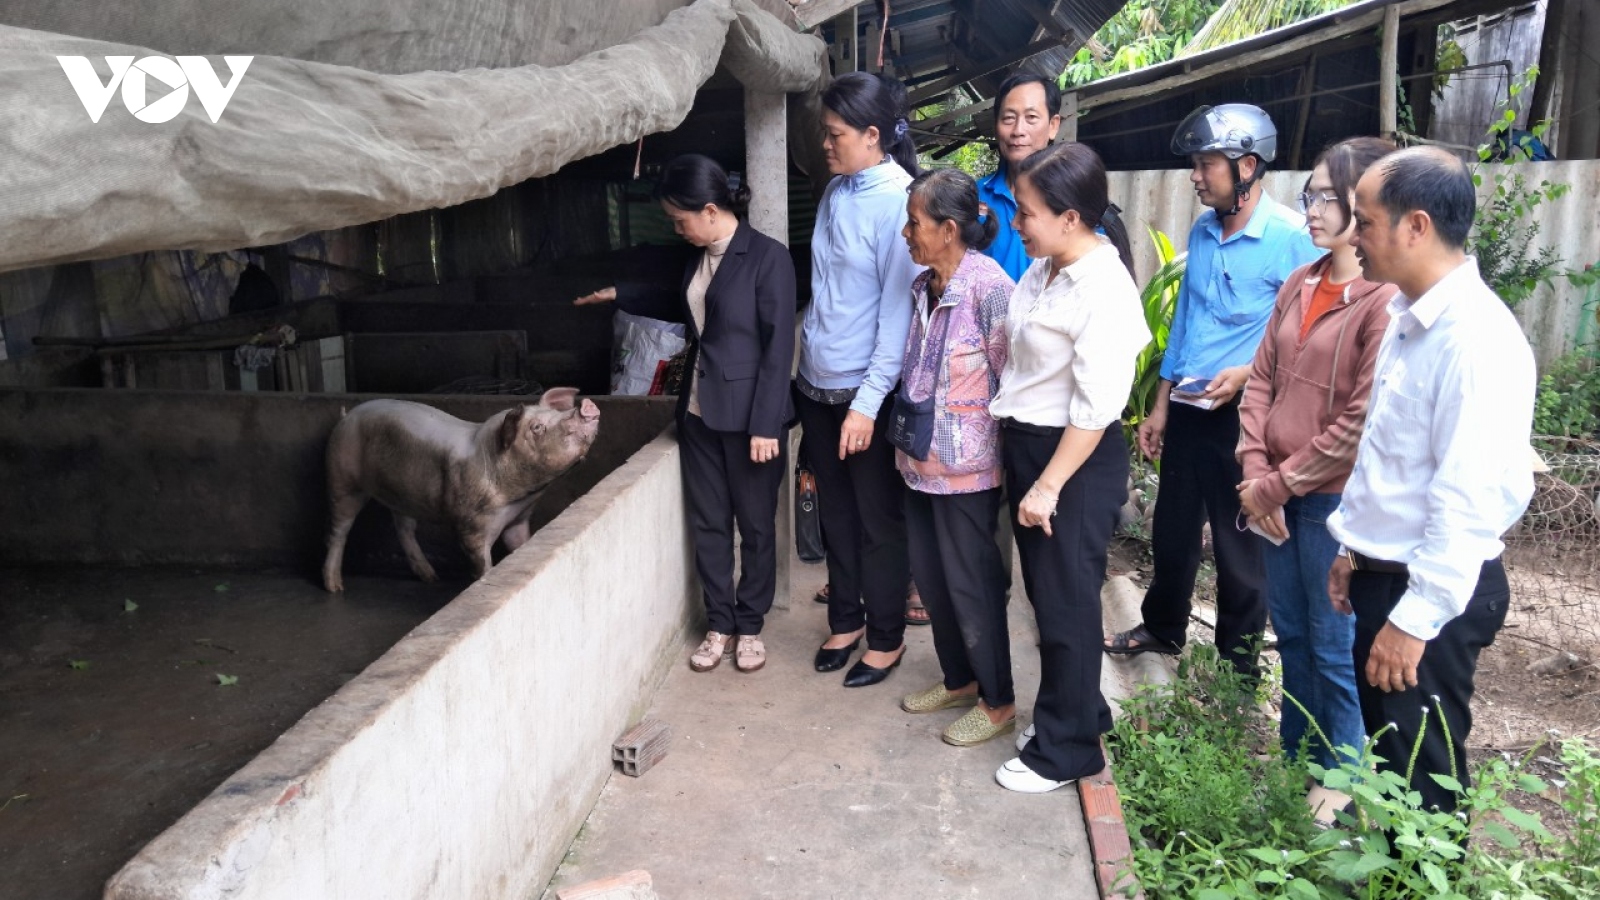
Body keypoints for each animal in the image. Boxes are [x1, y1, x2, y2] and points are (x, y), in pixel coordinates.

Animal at [318, 384, 601, 589]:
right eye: (537, 427)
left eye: (557, 414)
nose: (586, 405)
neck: (517, 496)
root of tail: (346, 416)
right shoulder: (471, 525)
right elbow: (481, 561)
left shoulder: (518, 518)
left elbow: (519, 542)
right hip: (341, 480)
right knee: (338, 531)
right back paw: (335, 587)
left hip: (402, 494)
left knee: (404, 529)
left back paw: (431, 577)